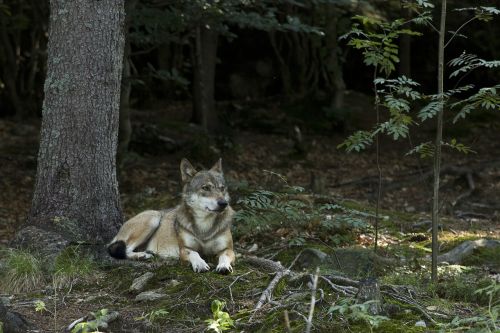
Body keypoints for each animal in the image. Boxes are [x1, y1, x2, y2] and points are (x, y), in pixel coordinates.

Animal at [106, 158, 235, 272]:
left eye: (222, 188)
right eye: (206, 188)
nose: (224, 203)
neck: (204, 226)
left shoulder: (228, 249)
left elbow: (224, 256)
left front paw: (223, 266)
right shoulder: (184, 249)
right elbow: (194, 253)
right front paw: (200, 264)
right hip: (153, 218)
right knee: (123, 250)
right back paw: (143, 255)